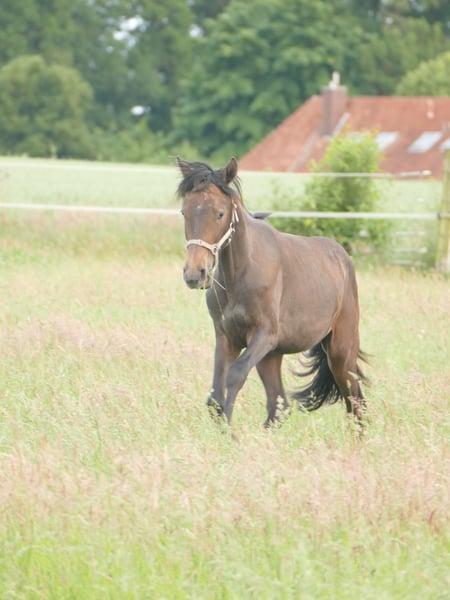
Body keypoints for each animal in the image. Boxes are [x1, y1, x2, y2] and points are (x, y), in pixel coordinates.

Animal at [176, 156, 368, 430]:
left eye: (220, 213)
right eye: (185, 212)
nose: (195, 274)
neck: (240, 275)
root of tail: (342, 257)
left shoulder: (264, 334)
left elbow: (235, 375)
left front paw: (230, 432)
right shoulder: (226, 337)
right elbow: (215, 396)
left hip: (340, 352)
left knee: (355, 401)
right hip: (271, 357)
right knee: (279, 407)